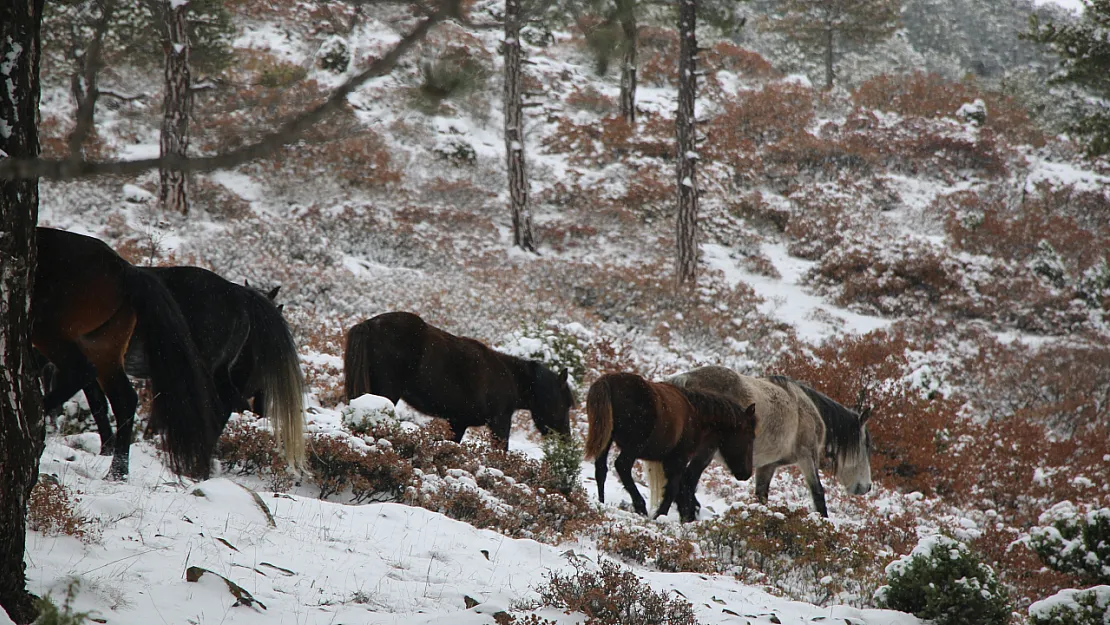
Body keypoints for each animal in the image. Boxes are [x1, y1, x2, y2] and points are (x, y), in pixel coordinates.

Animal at [31, 228, 220, 479]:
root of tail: (125, 269)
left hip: (50, 330)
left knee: (82, 373)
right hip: (102, 347)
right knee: (124, 399)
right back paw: (117, 472)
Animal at [344, 313, 572, 450]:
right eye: (565, 404)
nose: (566, 441)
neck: (509, 376)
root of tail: (369, 324)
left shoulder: (458, 422)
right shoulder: (500, 421)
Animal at [586, 370, 759, 523]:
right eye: (750, 436)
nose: (746, 473)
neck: (696, 413)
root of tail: (608, 381)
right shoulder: (678, 458)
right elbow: (673, 488)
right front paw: (660, 515)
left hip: (607, 439)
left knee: (601, 470)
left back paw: (601, 502)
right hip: (633, 446)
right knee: (622, 466)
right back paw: (640, 506)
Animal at [652, 366, 870, 519]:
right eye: (866, 446)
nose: (866, 488)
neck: (806, 410)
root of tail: (684, 381)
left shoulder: (768, 465)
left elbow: (761, 495)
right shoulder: (807, 457)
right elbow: (818, 494)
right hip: (705, 451)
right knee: (687, 481)